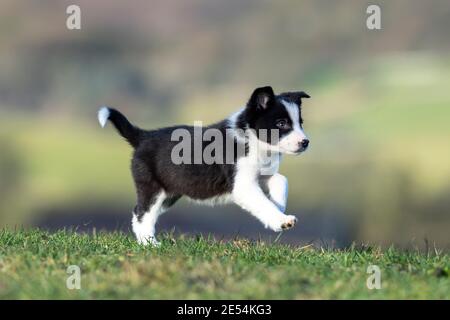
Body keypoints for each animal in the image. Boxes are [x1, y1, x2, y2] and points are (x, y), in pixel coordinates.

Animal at [97, 85, 310, 245]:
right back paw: (150, 244)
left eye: (300, 123)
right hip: (152, 188)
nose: (305, 142)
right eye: (281, 123)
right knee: (142, 213)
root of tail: (143, 136)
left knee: (139, 212)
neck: (252, 138)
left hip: (169, 194)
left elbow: (282, 180)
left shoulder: (263, 174)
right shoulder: (243, 185)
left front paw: (279, 206)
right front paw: (281, 220)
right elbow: (262, 203)